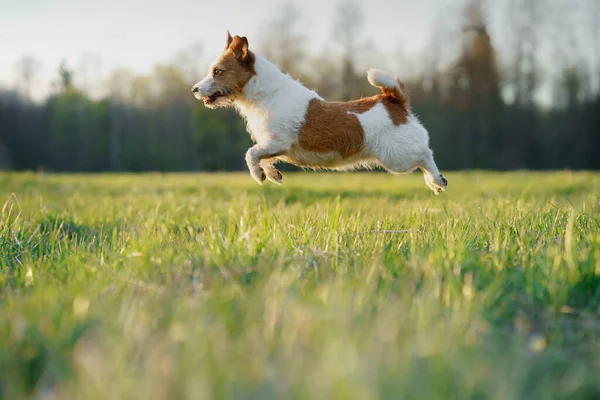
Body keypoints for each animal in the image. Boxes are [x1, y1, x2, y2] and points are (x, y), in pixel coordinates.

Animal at [190, 31, 448, 194]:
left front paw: (258, 175)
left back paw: (437, 179)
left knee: (426, 155)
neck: (266, 94)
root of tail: (393, 100)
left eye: (217, 72)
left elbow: (250, 154)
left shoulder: (277, 142)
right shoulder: (272, 145)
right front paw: (272, 174)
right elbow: (263, 157)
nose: (194, 89)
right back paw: (433, 183)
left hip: (398, 158)